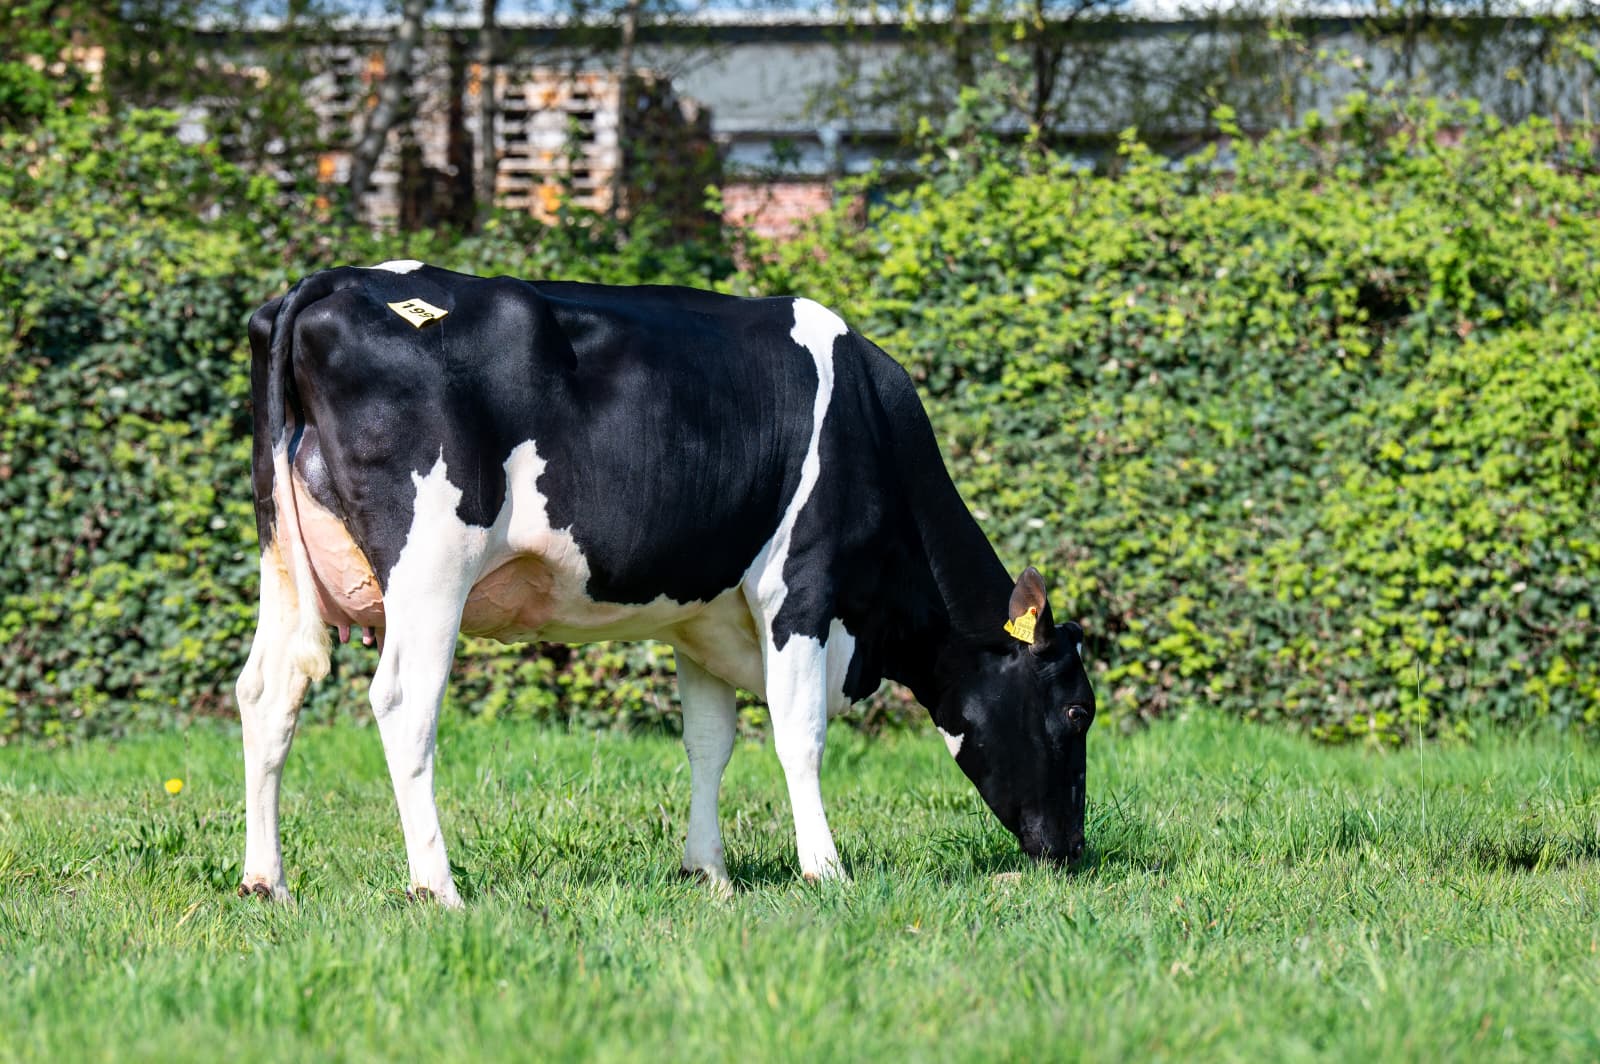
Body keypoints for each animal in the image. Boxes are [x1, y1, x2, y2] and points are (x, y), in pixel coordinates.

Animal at [235, 261, 1095, 906]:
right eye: (1077, 710)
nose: (1072, 850)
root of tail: (333, 281)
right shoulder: (801, 589)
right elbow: (800, 734)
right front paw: (825, 869)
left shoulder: (701, 618)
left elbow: (709, 743)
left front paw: (707, 871)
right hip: (433, 563)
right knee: (403, 703)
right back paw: (438, 886)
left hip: (281, 554)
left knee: (270, 690)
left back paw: (265, 881)